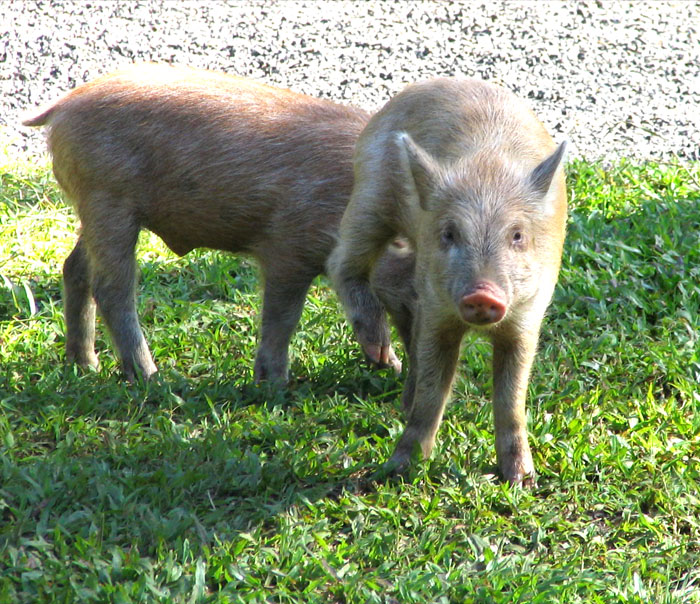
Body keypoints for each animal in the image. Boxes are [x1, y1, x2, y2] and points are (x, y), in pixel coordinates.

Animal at [23, 65, 404, 382]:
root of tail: (63, 105)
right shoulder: (288, 245)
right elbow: (283, 315)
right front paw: (276, 386)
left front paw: (389, 365)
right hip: (107, 200)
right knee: (111, 287)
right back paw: (151, 378)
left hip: (92, 209)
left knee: (74, 267)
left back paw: (86, 365)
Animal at [330, 79, 568, 486]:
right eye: (450, 233)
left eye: (518, 235)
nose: (482, 294)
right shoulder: (438, 309)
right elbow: (433, 387)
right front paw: (397, 471)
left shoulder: (527, 314)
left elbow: (512, 396)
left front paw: (521, 481)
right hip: (369, 200)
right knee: (343, 263)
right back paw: (381, 356)